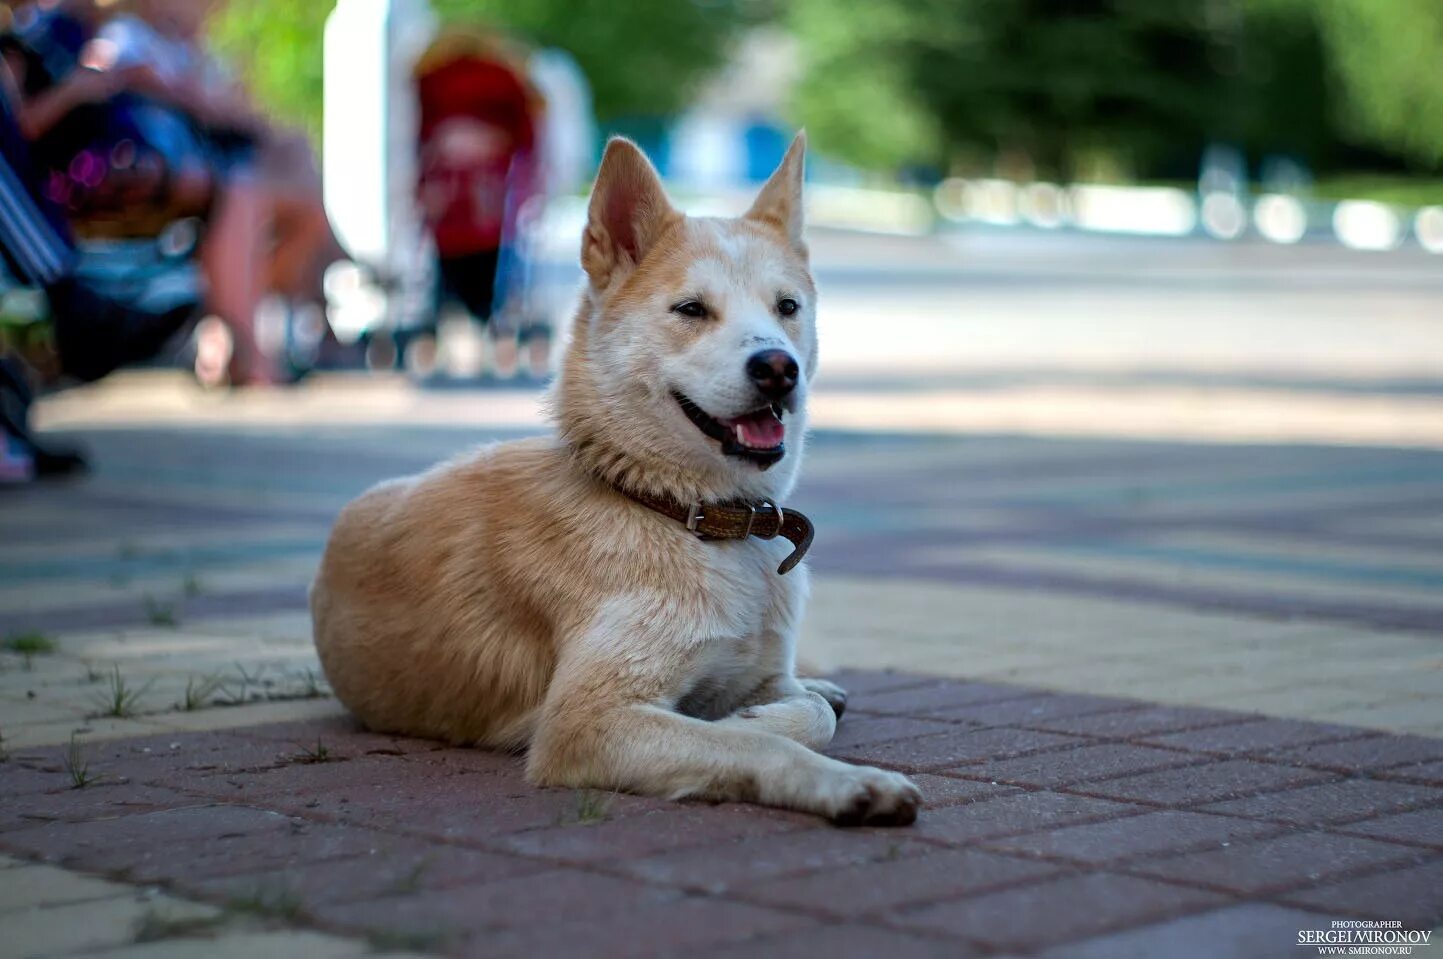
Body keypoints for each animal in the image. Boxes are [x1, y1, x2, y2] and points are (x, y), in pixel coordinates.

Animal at [313, 132, 923, 824]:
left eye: (787, 307)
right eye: (691, 309)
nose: (778, 367)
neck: (690, 517)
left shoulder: (762, 671)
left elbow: (808, 709)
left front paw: (767, 709)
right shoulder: (585, 723)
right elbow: (753, 741)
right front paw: (845, 781)